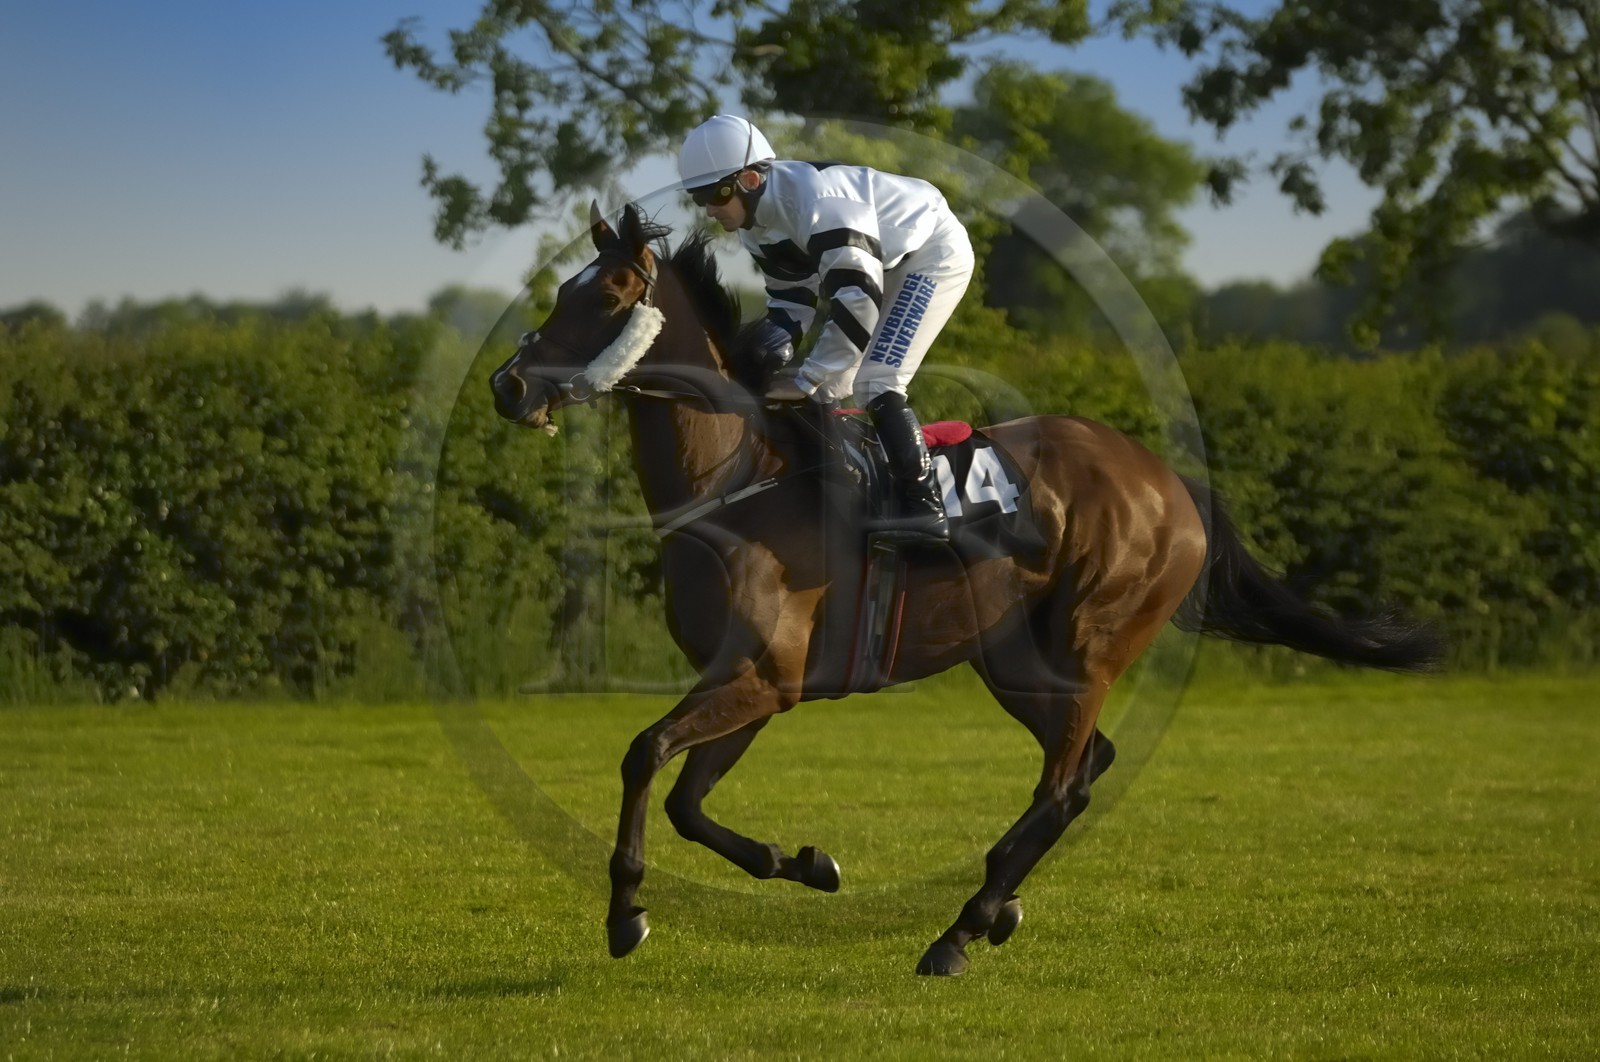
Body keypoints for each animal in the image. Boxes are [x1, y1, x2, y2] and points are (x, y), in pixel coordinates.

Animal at [487, 202, 1444, 976]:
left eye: (608, 296)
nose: (508, 384)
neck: (742, 478)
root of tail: (1172, 483)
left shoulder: (763, 676)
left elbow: (642, 754)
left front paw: (625, 914)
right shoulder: (758, 682)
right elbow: (688, 802)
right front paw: (806, 864)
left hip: (1088, 646)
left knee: (1063, 785)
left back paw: (960, 929)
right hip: (1016, 661)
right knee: (1087, 764)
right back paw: (998, 902)